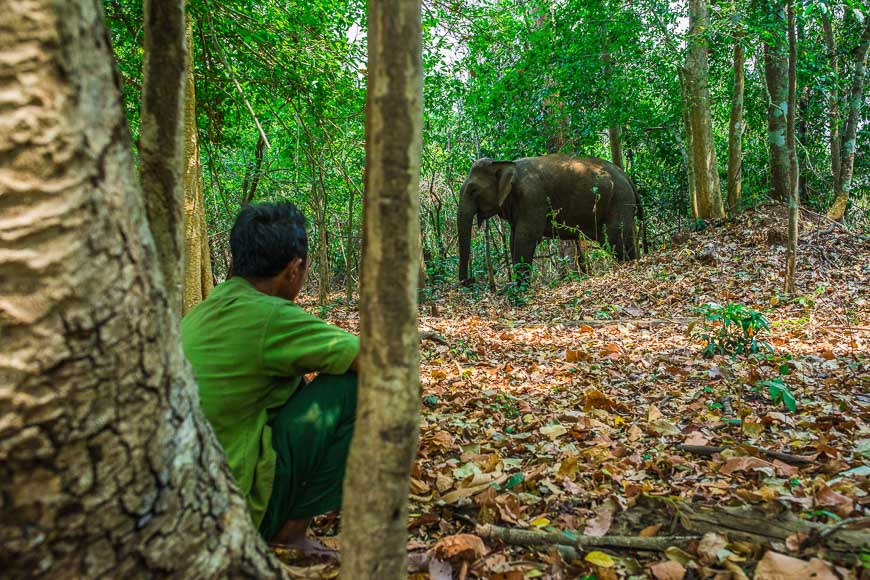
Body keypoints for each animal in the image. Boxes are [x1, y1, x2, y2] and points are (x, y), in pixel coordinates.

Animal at [456, 151, 648, 284]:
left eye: (473, 190)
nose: (470, 281)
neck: (506, 164)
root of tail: (627, 178)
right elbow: (514, 238)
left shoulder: (533, 197)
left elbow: (525, 237)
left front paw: (519, 289)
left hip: (619, 202)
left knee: (617, 239)